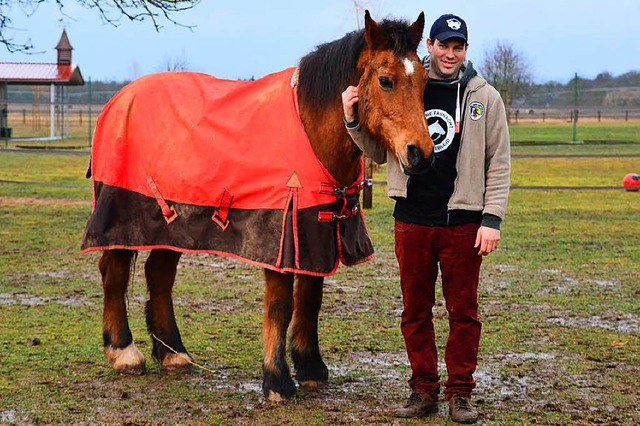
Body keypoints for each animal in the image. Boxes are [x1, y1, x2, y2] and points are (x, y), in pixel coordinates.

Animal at [82, 10, 432, 402]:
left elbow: (310, 297)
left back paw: (174, 353)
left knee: (159, 274)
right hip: (124, 212)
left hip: (173, 223)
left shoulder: (316, 230)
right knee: (114, 272)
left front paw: (310, 368)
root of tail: (118, 100)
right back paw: (123, 351)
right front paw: (277, 380)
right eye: (386, 81)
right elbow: (281, 305)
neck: (309, 126)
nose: (420, 154)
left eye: (424, 81)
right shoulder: (282, 234)